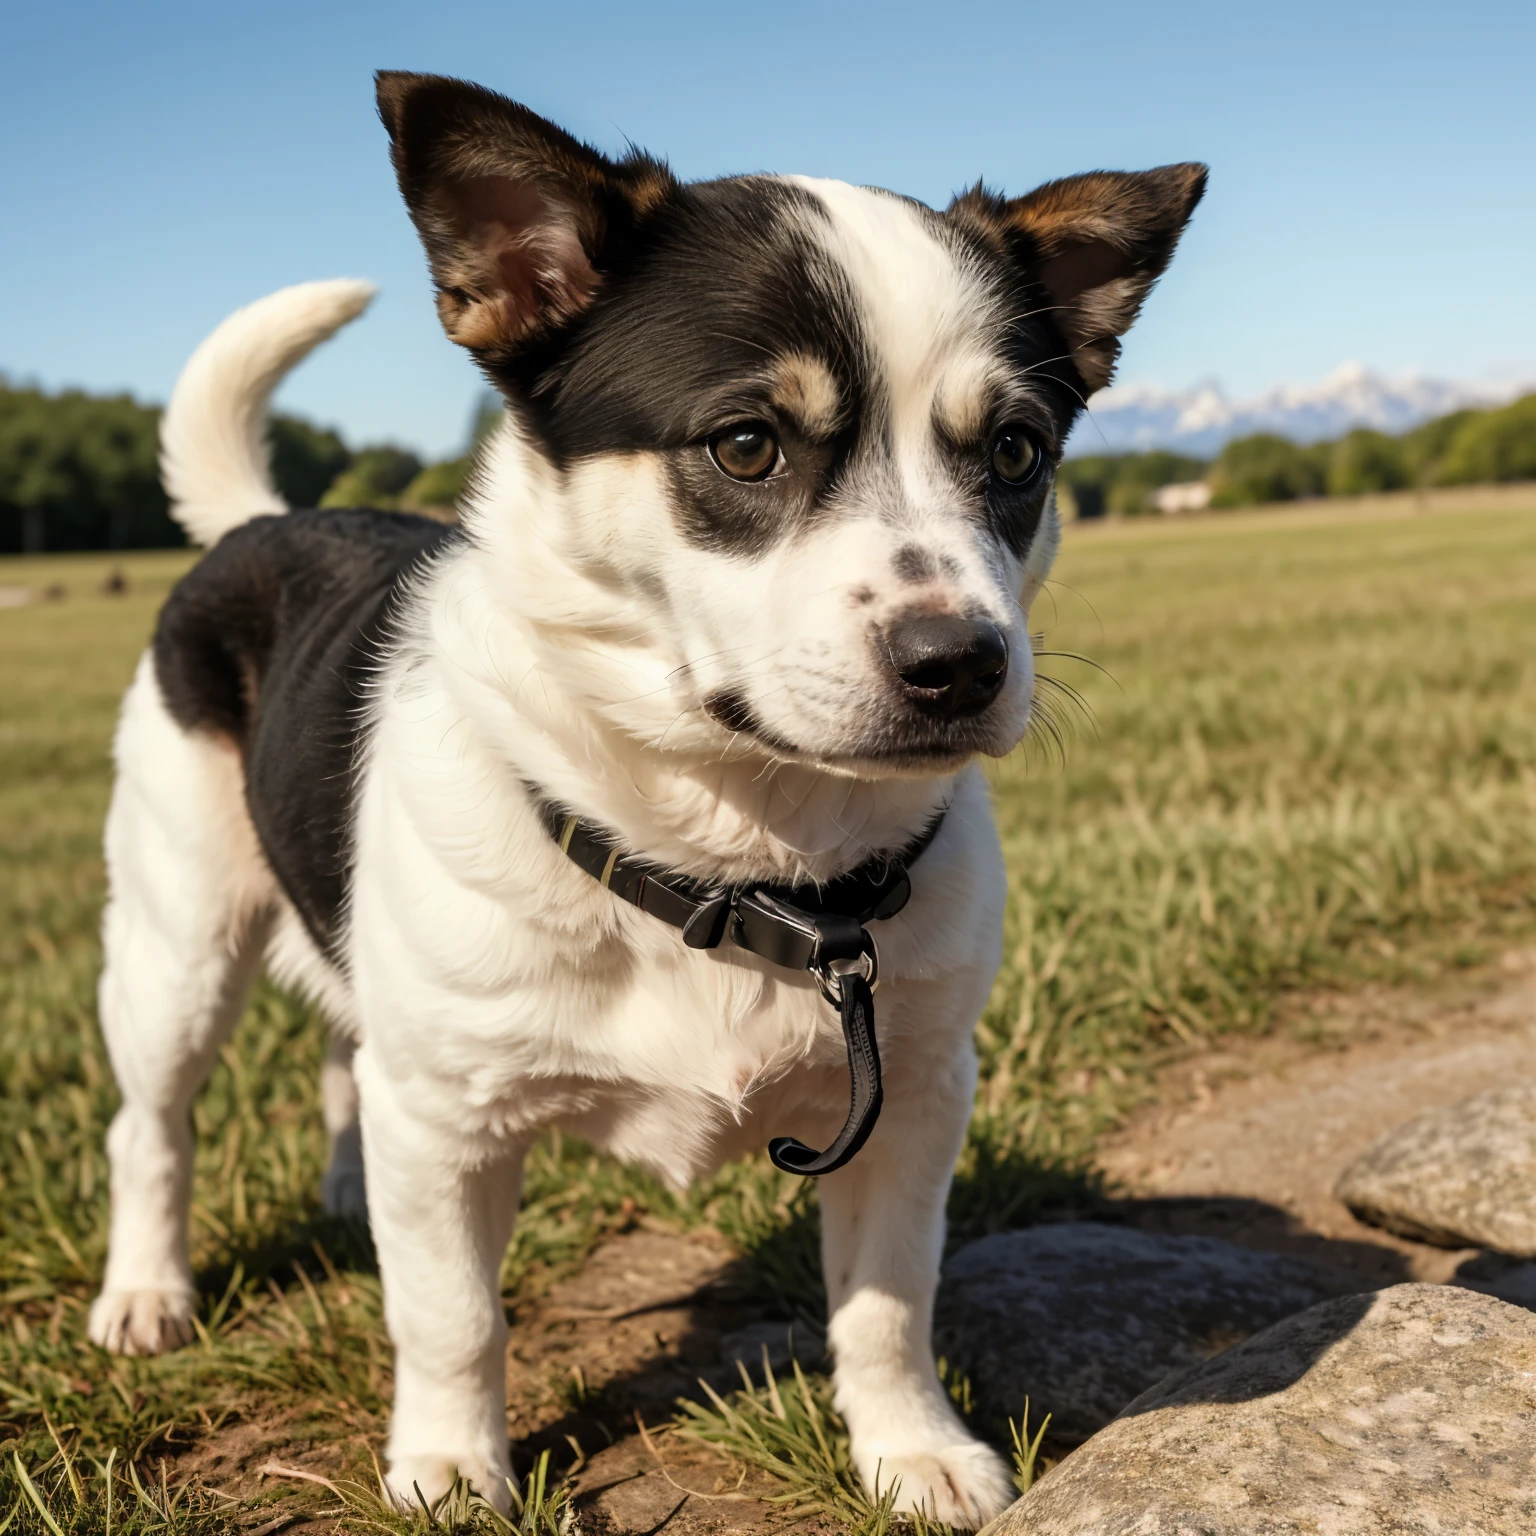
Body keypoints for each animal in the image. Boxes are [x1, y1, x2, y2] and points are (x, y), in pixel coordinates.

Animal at [89, 69, 1204, 1523]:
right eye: (746, 445)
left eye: (1016, 452)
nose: (961, 661)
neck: (738, 861)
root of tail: (256, 522)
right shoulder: (446, 1121)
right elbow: (450, 1313)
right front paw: (450, 1466)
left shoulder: (916, 1093)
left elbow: (888, 1300)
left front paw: (912, 1450)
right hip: (177, 945)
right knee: (151, 1127)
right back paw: (146, 1294)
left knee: (342, 1049)